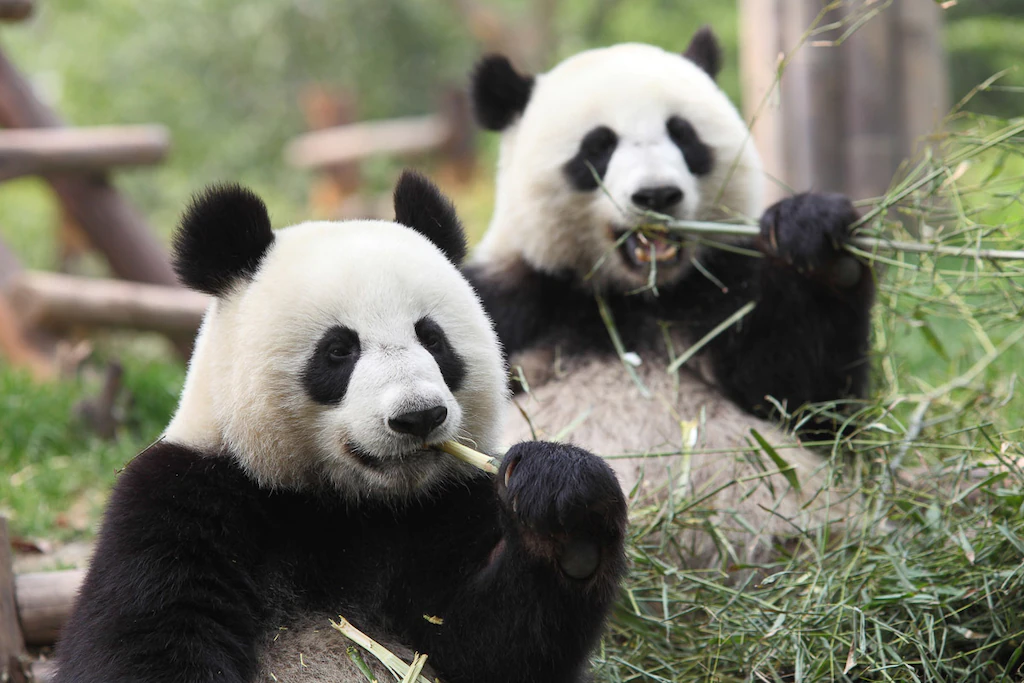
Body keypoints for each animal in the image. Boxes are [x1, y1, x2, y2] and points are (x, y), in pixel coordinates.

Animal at [52, 171, 628, 683]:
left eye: (433, 339)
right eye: (338, 350)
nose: (419, 416)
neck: (350, 506)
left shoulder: (443, 509)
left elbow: (486, 647)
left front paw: (562, 503)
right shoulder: (186, 500)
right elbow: (143, 643)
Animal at [463, 27, 875, 569]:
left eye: (683, 135)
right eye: (599, 147)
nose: (657, 195)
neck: (634, 297)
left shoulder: (723, 294)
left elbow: (807, 400)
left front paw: (813, 239)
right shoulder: (508, 303)